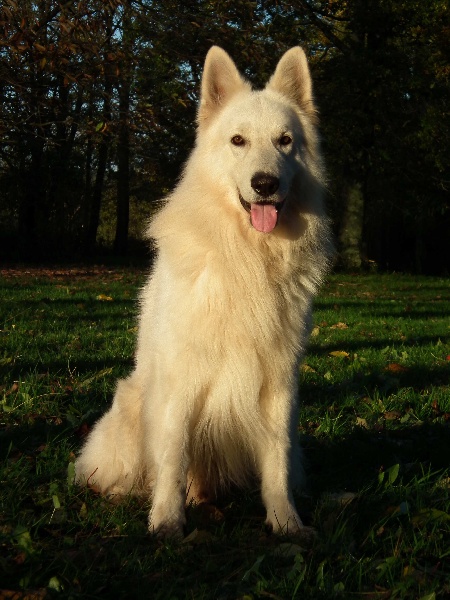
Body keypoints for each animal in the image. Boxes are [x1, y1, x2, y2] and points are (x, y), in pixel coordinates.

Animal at [75, 44, 332, 536]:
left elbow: (275, 463)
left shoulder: (279, 383)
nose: (265, 184)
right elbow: (173, 459)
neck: (246, 258)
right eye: (238, 141)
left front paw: (286, 522)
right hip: (132, 408)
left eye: (285, 141)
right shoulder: (181, 382)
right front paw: (167, 523)